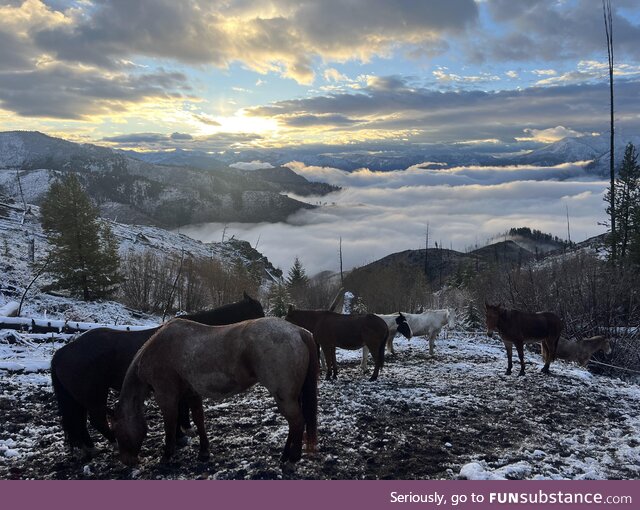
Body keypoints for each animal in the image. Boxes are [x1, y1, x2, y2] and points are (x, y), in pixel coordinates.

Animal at [47, 290, 262, 458]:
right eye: (258, 312)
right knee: (96, 419)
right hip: (93, 395)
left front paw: (182, 432)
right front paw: (182, 434)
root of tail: (62, 352)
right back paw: (114, 443)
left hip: (78, 398)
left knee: (80, 422)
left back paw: (89, 448)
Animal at [113, 316, 320, 468]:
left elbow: (170, 425)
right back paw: (285, 456)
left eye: (118, 432)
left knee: (297, 422)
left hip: (284, 397)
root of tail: (299, 331)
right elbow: (199, 419)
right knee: (294, 424)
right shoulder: (191, 393)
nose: (127, 461)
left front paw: (167, 455)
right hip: (292, 396)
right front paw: (204, 452)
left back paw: (292, 459)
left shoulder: (166, 396)